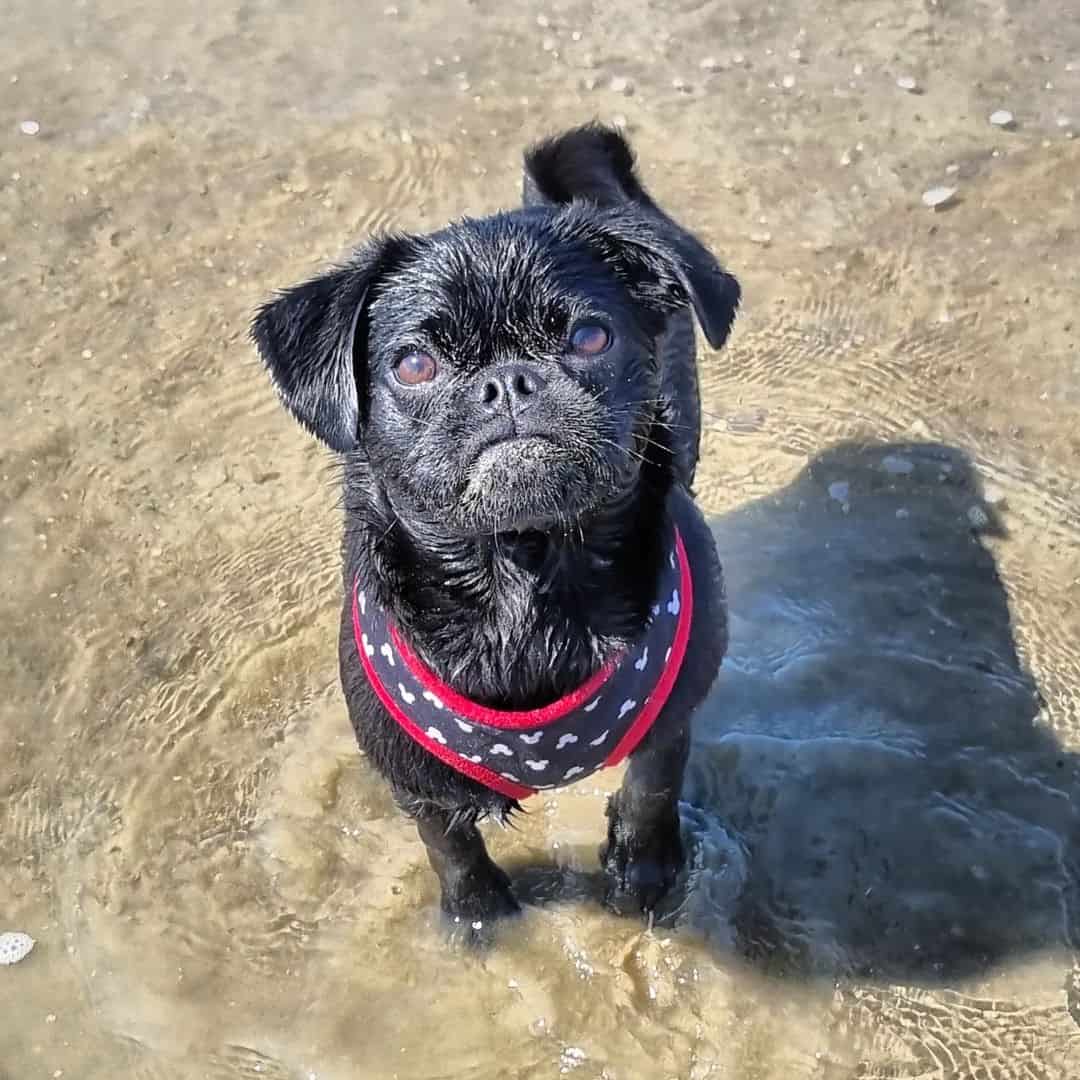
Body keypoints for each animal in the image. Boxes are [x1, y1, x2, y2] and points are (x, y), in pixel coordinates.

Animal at [254, 124, 734, 928]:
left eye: (590, 337)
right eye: (414, 365)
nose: (508, 380)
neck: (525, 574)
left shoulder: (671, 721)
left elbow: (651, 787)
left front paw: (642, 871)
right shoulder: (413, 780)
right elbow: (447, 841)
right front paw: (477, 913)